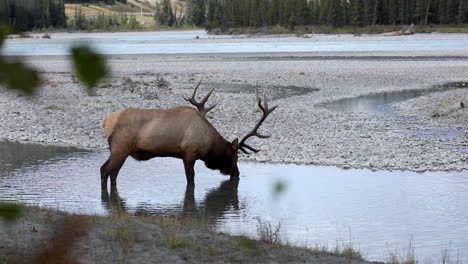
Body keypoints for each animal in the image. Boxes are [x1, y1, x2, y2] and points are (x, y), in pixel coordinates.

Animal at [101, 82, 278, 188]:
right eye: (236, 157)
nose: (237, 173)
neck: (209, 145)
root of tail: (106, 122)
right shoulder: (189, 153)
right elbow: (191, 180)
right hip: (120, 148)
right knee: (105, 170)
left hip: (123, 151)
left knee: (113, 174)